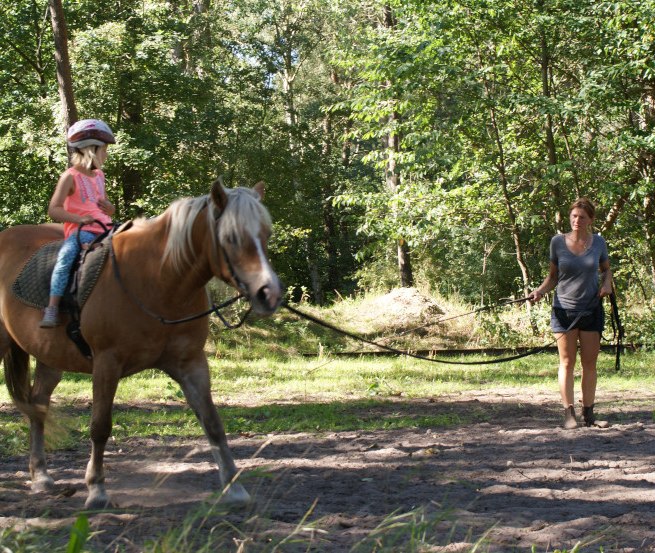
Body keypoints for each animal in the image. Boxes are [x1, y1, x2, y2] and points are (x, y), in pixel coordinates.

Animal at [0, 179, 282, 506]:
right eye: (232, 237)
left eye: (266, 234)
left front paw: (234, 486)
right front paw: (96, 490)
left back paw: (41, 477)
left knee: (39, 406)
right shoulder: (106, 363)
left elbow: (213, 422)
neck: (159, 281)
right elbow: (100, 426)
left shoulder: (191, 363)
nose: (269, 293)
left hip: (50, 357)